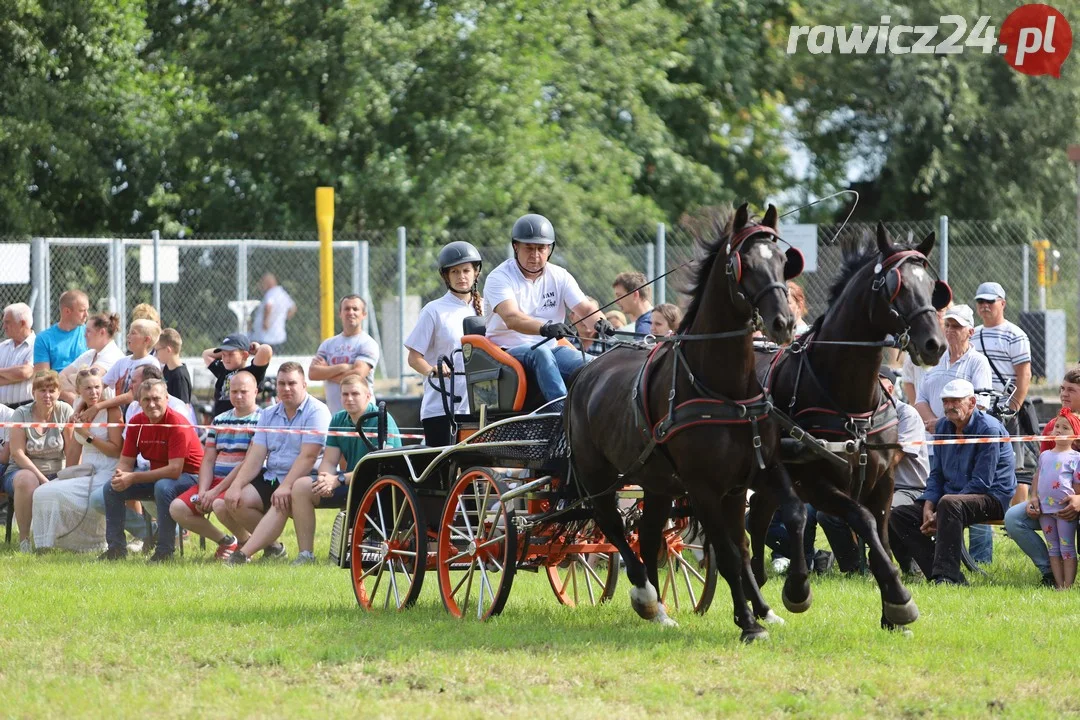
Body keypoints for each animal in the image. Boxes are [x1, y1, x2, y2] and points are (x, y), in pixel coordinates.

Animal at [565, 202, 812, 643]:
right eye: (745, 264)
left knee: (647, 536)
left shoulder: (756, 474)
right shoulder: (703, 488)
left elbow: (787, 520)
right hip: (598, 477)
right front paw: (748, 623)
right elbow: (728, 553)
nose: (784, 323)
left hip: (656, 483)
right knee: (612, 527)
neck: (725, 390)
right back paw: (646, 595)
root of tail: (586, 370)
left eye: (785, 263)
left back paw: (661, 610)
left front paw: (791, 594)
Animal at [751, 223, 946, 630]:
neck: (850, 401)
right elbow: (864, 521)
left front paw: (892, 609)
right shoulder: (816, 483)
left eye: (931, 284)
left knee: (757, 520)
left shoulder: (884, 481)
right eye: (896, 285)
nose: (934, 344)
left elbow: (882, 539)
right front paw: (898, 598)